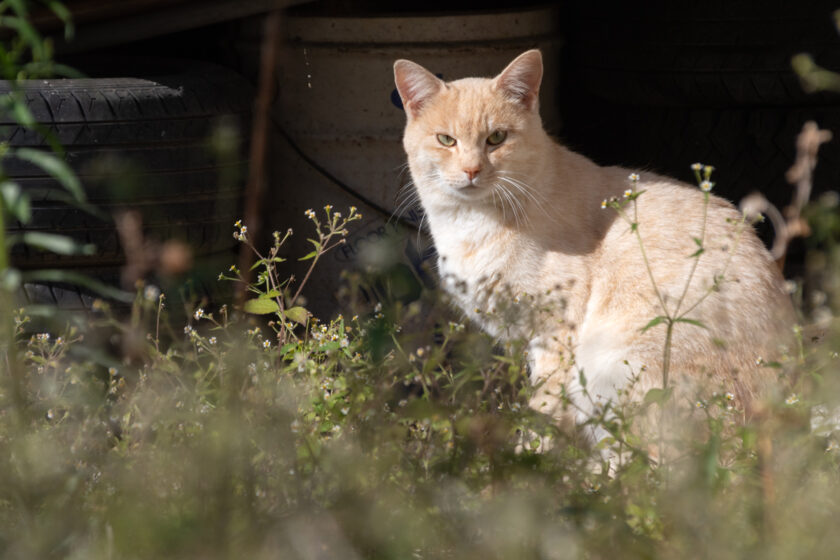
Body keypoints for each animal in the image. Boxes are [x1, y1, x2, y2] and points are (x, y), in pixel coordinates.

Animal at [394, 50, 796, 448]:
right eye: (446, 140)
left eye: (496, 138)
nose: (472, 170)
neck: (471, 223)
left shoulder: (556, 330)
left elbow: (542, 412)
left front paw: (528, 458)